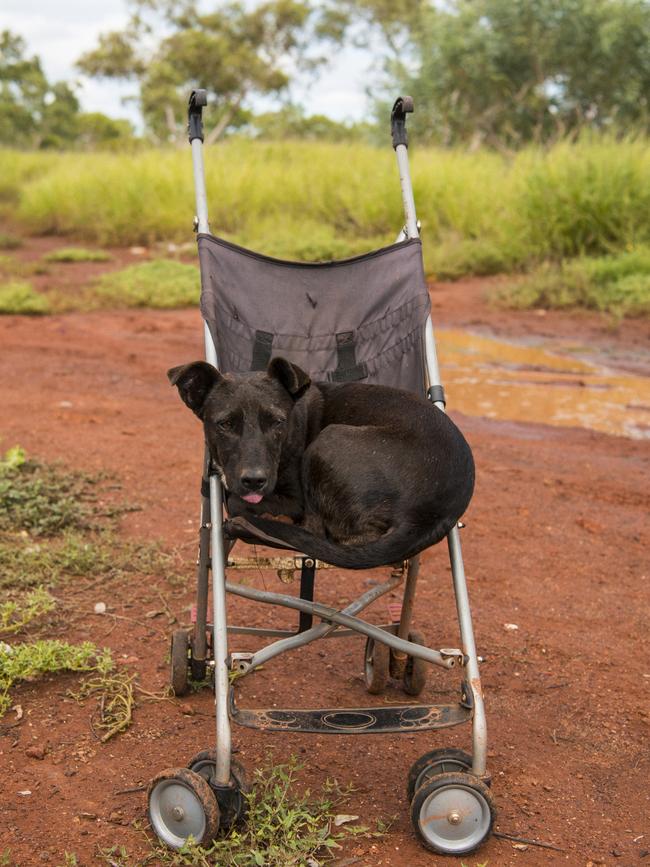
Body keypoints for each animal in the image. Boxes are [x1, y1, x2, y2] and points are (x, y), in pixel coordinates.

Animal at [167, 358, 470, 568]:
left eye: (277, 422)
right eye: (225, 424)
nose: (254, 480)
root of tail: (427, 514)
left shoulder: (294, 499)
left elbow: (238, 501)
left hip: (327, 442)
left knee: (314, 533)